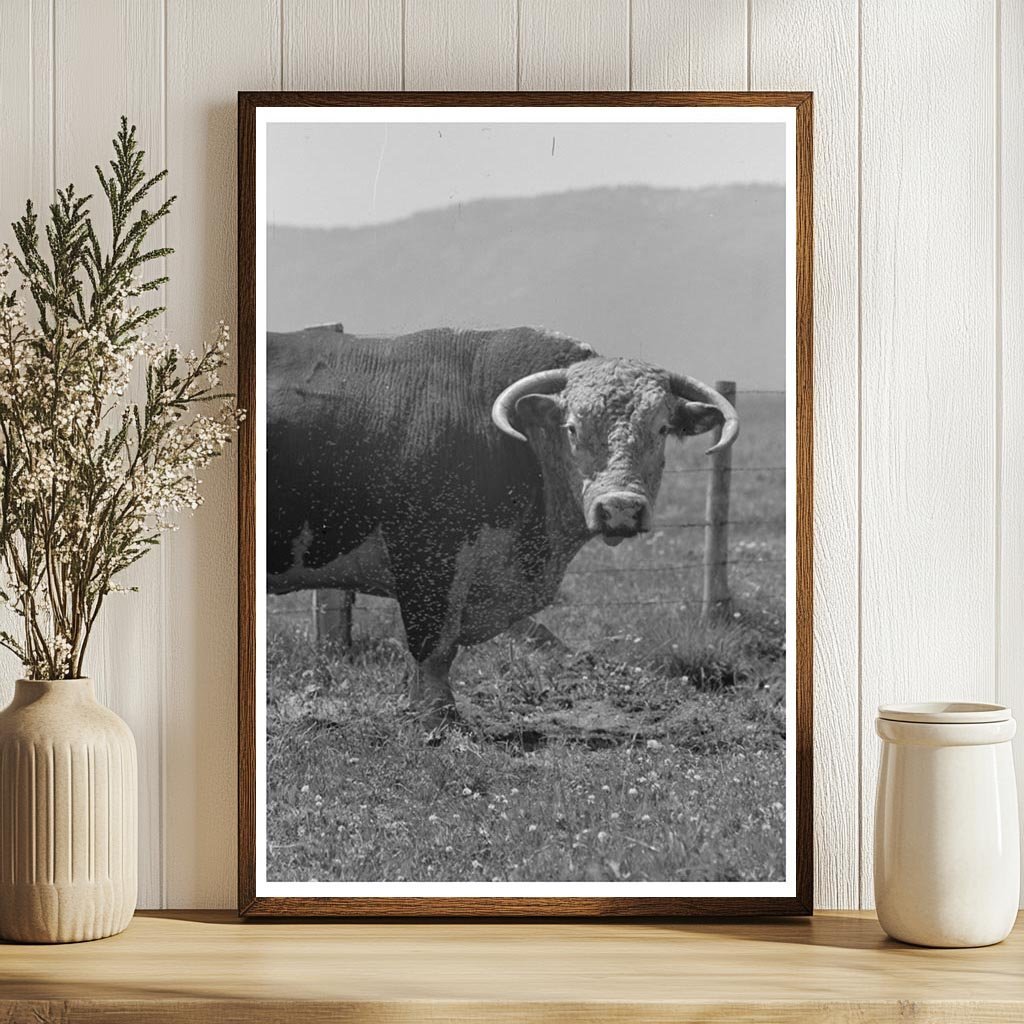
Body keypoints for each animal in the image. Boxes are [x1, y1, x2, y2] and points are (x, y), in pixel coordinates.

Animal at [267, 326, 739, 728]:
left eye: (661, 428)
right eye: (572, 428)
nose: (620, 507)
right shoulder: (429, 560)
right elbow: (433, 648)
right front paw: (436, 719)